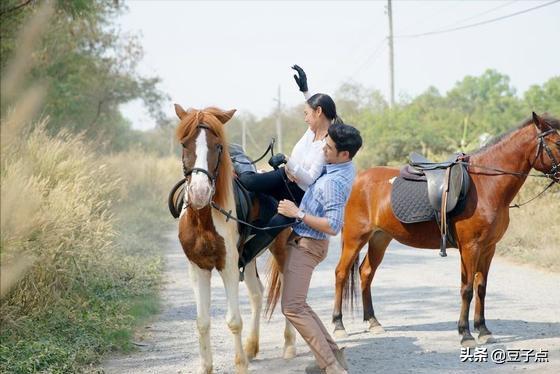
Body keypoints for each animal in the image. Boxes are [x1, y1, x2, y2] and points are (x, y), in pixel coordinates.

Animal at [174, 106, 298, 374]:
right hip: (249, 258)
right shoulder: (198, 268)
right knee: (257, 294)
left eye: (218, 145)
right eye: (184, 144)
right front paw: (206, 367)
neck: (203, 218)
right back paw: (252, 347)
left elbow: (233, 321)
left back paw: (289, 346)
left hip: (281, 250)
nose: (199, 193)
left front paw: (240, 364)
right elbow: (202, 322)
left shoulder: (228, 266)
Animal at [330, 112, 556, 348]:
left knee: (366, 272)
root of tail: (356, 180)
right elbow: (467, 289)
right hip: (355, 238)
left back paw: (373, 322)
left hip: (380, 238)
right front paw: (465, 334)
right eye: (557, 142)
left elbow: (481, 288)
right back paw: (339, 325)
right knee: (341, 273)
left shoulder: (488, 248)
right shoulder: (470, 248)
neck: (485, 185)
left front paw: (483, 330)